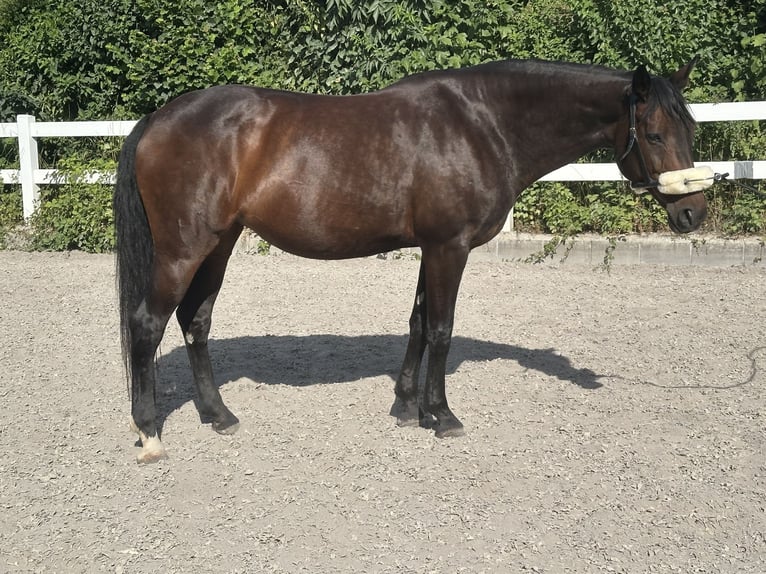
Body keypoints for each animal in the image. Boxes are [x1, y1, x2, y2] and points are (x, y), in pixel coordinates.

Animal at [114, 57, 712, 464]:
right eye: (654, 133)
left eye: (691, 129)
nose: (693, 213)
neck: (482, 123)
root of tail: (156, 120)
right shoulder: (449, 246)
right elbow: (442, 328)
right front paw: (442, 415)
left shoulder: (432, 247)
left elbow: (420, 322)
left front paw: (407, 407)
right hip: (185, 248)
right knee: (148, 324)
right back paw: (149, 432)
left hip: (219, 243)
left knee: (196, 320)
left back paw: (219, 416)